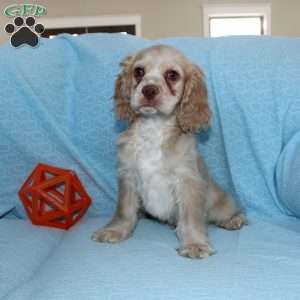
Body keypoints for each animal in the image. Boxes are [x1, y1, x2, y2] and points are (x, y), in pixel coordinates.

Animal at [92, 44, 246, 258]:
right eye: (139, 72)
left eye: (172, 75)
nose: (149, 89)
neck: (154, 127)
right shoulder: (128, 175)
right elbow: (124, 210)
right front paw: (115, 230)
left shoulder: (187, 180)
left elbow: (190, 217)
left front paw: (194, 244)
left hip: (220, 204)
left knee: (231, 211)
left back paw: (233, 220)